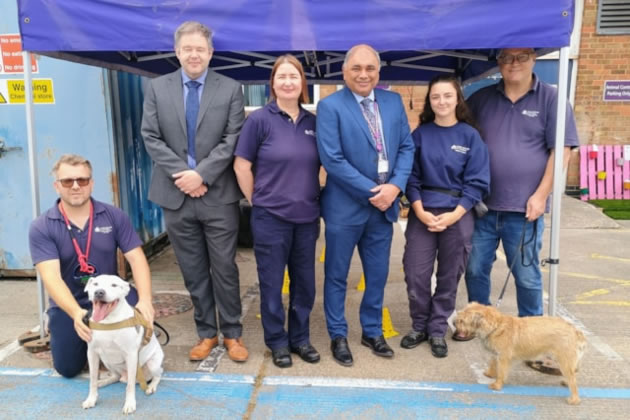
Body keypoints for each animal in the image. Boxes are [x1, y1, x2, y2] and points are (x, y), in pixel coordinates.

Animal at [81, 274, 164, 416]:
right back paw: (103, 382)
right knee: (116, 376)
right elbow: (92, 379)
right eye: (95, 284)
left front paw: (130, 404)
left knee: (157, 374)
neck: (109, 321)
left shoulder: (131, 355)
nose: (99, 292)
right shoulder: (91, 353)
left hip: (152, 364)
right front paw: (91, 399)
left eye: (114, 285)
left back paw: (151, 386)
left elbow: (130, 386)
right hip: (108, 361)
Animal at [454, 302, 588, 404]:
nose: (454, 323)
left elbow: (501, 372)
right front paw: (490, 374)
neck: (497, 326)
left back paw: (574, 399)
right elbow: (492, 363)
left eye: (462, 321)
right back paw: (566, 382)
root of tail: (576, 331)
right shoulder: (496, 355)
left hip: (564, 361)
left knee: (573, 380)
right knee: (573, 374)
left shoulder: (503, 358)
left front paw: (497, 385)